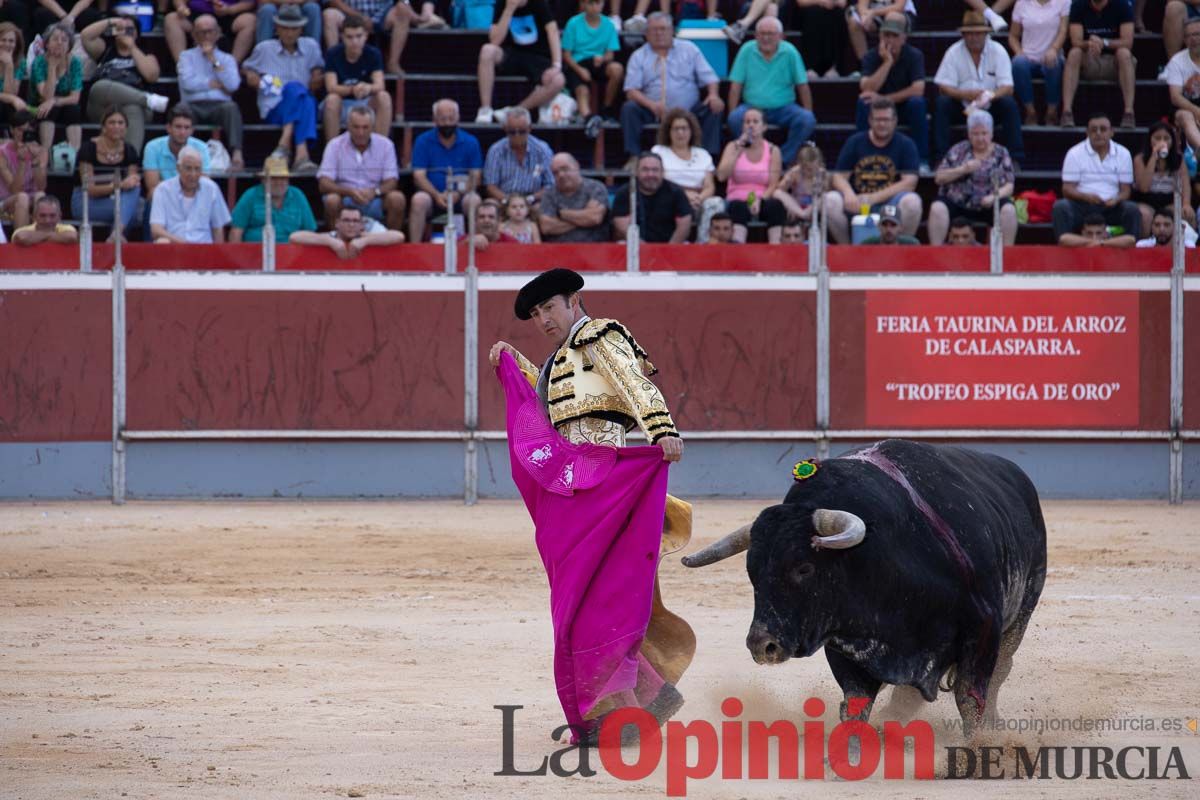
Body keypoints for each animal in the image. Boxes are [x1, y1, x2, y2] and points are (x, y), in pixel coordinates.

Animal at [686, 441, 1041, 734]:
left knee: (1002, 668)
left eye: (804, 568)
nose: (763, 644)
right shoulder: (843, 642)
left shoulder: (983, 629)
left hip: (1022, 612)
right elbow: (855, 704)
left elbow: (970, 697)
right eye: (752, 572)